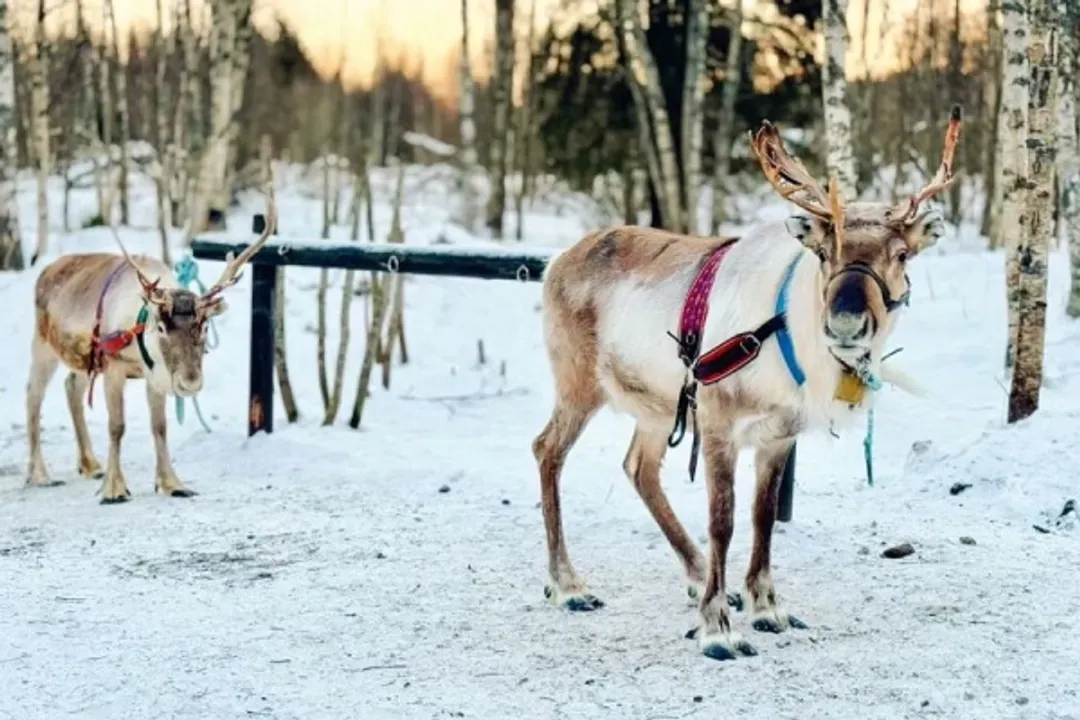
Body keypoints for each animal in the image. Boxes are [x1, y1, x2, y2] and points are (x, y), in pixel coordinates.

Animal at [25, 187, 278, 504]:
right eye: (160, 327)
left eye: (205, 326)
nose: (190, 383)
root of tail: (45, 270)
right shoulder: (114, 368)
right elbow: (116, 426)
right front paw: (114, 488)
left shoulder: (154, 377)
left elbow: (160, 427)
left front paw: (172, 483)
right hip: (43, 344)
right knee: (33, 395)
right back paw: (40, 474)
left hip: (85, 360)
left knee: (71, 386)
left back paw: (91, 464)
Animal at [531, 107, 961, 660]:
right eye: (824, 252)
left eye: (903, 254)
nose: (845, 323)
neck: (790, 332)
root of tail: (555, 262)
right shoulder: (718, 422)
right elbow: (724, 519)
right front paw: (716, 628)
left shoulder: (779, 434)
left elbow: (762, 517)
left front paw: (765, 606)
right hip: (578, 382)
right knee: (548, 450)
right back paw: (569, 586)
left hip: (657, 404)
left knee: (639, 468)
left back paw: (696, 575)